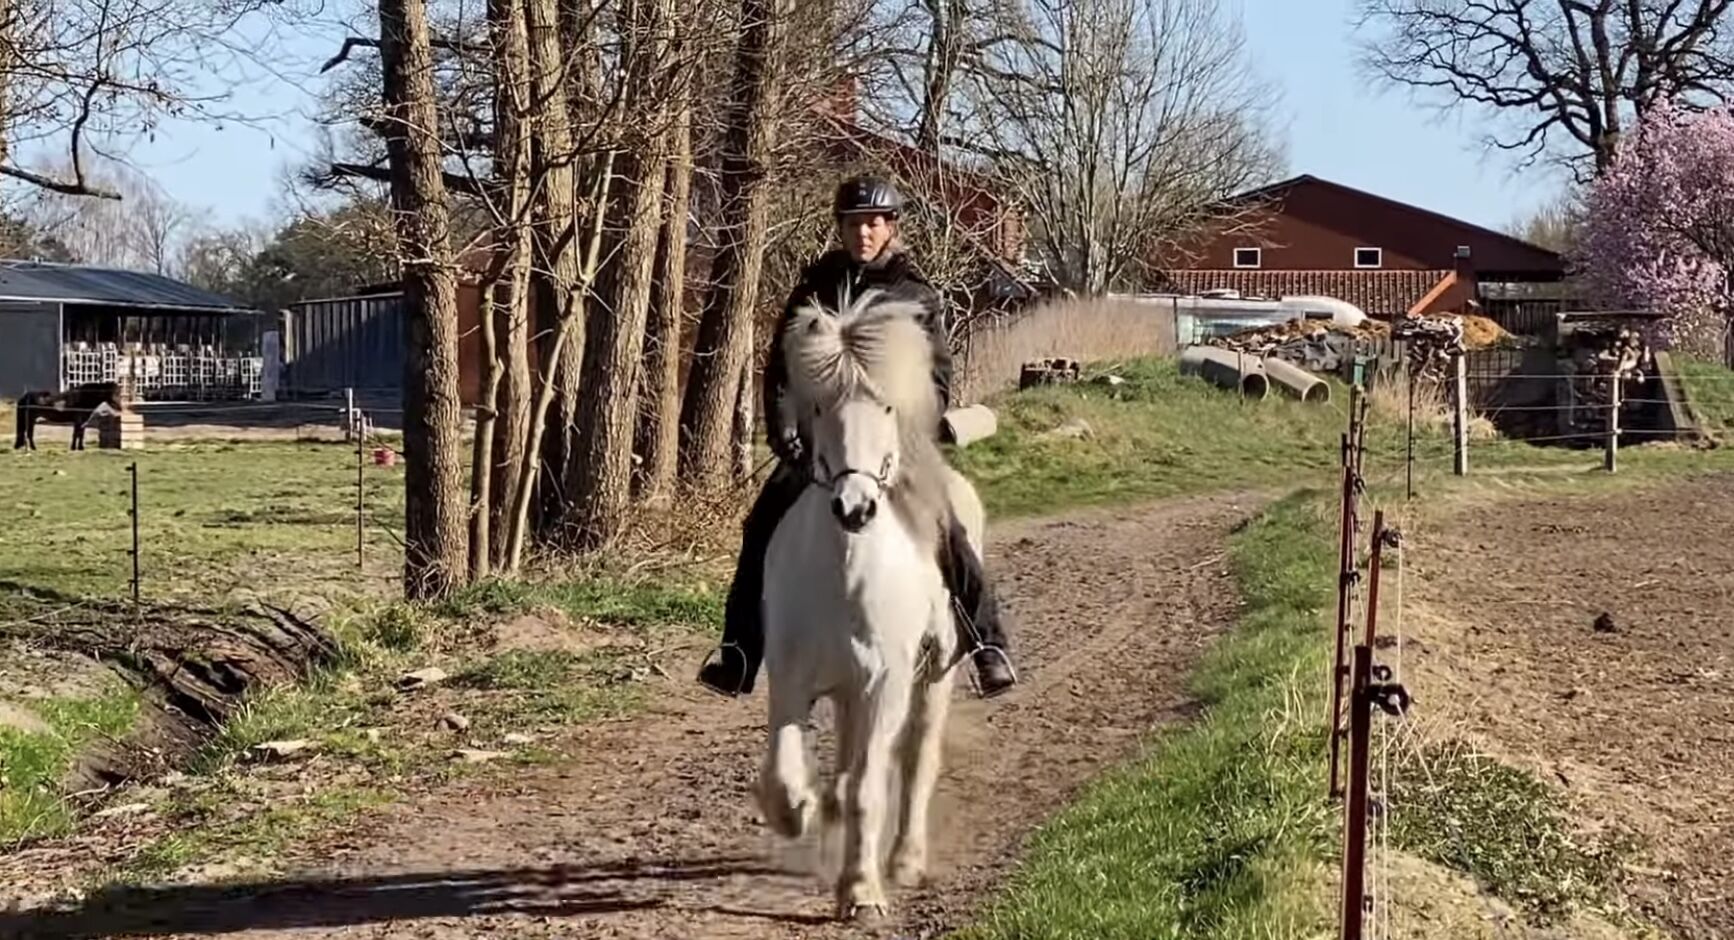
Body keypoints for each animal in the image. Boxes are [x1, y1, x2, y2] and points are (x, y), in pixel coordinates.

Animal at [756, 288, 986, 922]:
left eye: (885, 408)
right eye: (818, 407)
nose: (854, 508)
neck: (847, 571)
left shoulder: (886, 683)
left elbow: (867, 788)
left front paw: (861, 891)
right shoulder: (792, 677)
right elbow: (785, 778)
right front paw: (802, 813)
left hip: (932, 679)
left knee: (915, 761)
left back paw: (905, 861)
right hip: (847, 690)